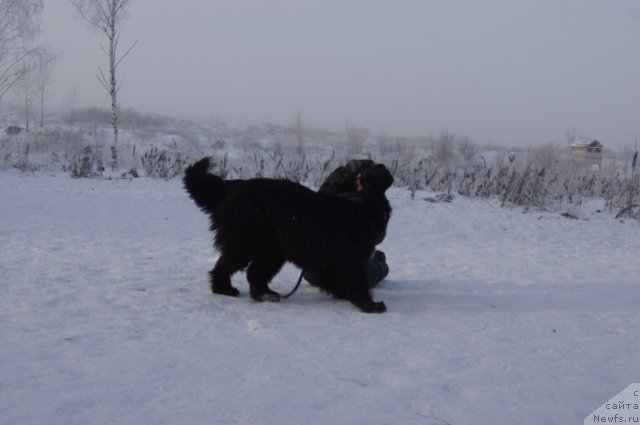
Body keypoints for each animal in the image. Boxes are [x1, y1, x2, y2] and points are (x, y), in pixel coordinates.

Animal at [182, 157, 392, 314]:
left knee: (254, 272)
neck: (364, 206)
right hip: (245, 243)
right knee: (225, 266)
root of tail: (232, 187)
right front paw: (370, 305)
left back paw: (265, 294)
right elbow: (358, 282)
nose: (383, 166)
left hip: (272, 250)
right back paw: (224, 289)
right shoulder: (352, 260)